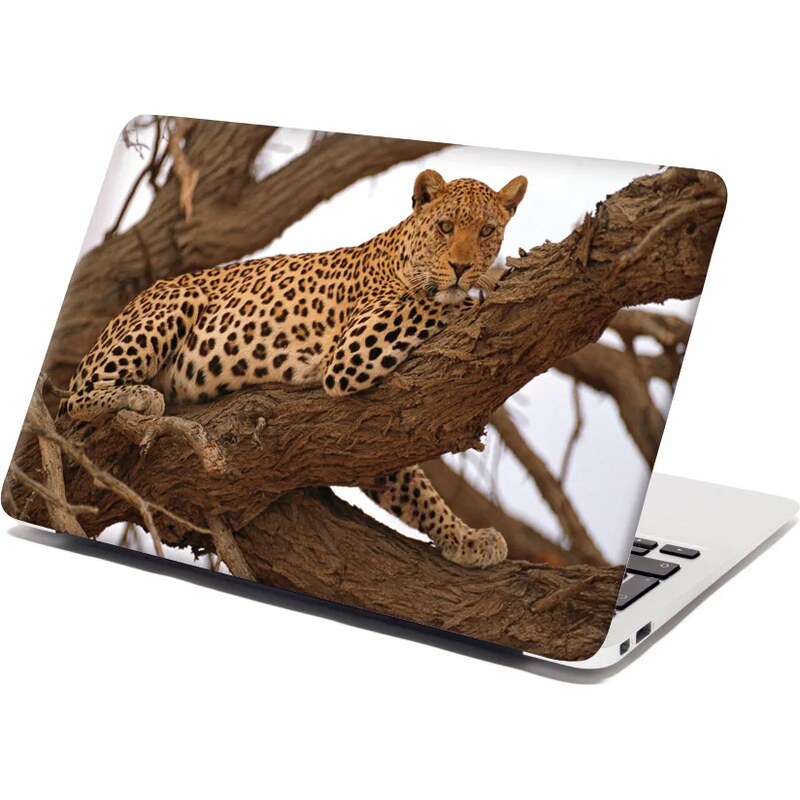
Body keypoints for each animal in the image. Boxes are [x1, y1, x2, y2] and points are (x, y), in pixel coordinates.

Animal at [61, 169, 528, 568]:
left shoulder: (380, 442)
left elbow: (418, 491)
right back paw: (138, 396)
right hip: (173, 304)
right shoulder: (354, 348)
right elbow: (441, 301)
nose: (461, 267)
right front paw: (493, 284)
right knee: (77, 398)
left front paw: (466, 540)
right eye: (445, 227)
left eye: (486, 231)